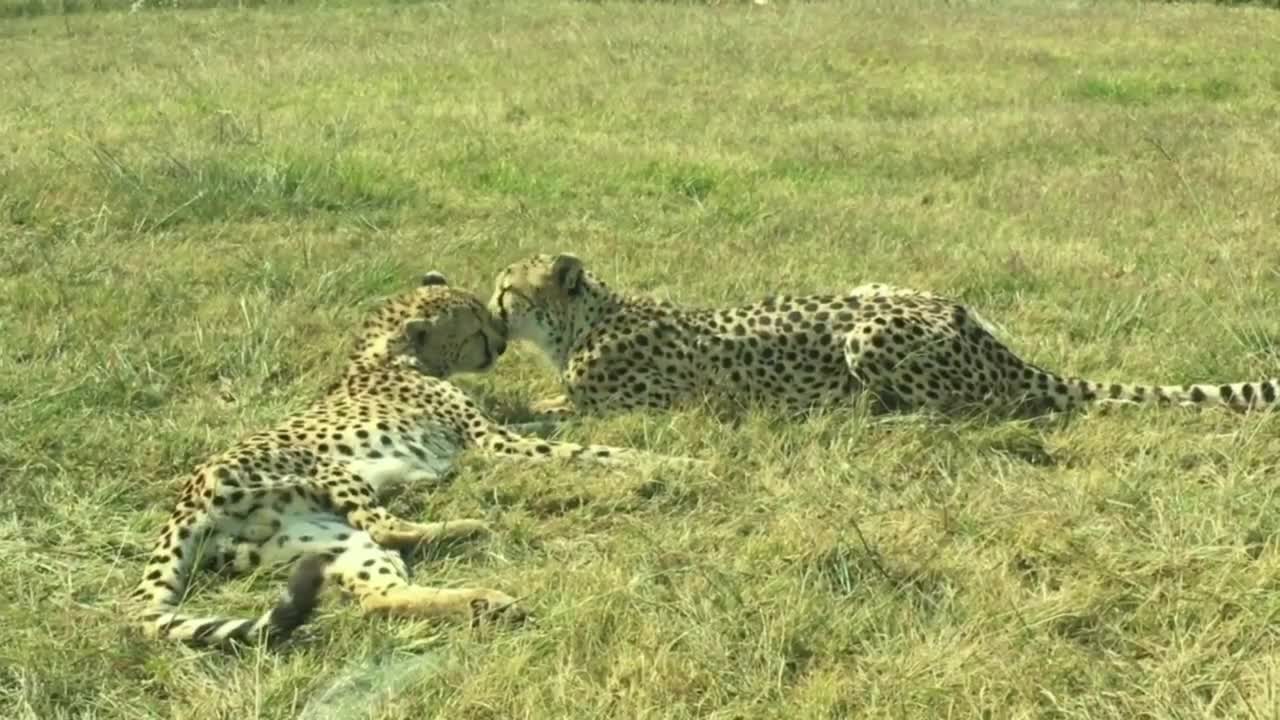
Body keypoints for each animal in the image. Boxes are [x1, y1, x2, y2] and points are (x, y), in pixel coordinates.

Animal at [136, 267, 696, 645]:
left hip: (323, 542)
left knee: (379, 596)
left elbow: (550, 425)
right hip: (324, 467)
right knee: (385, 525)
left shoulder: (491, 433)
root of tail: (183, 504)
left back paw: (483, 600)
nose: (501, 339)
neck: (386, 355)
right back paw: (469, 525)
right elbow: (581, 450)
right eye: (476, 325)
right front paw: (674, 464)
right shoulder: (490, 443)